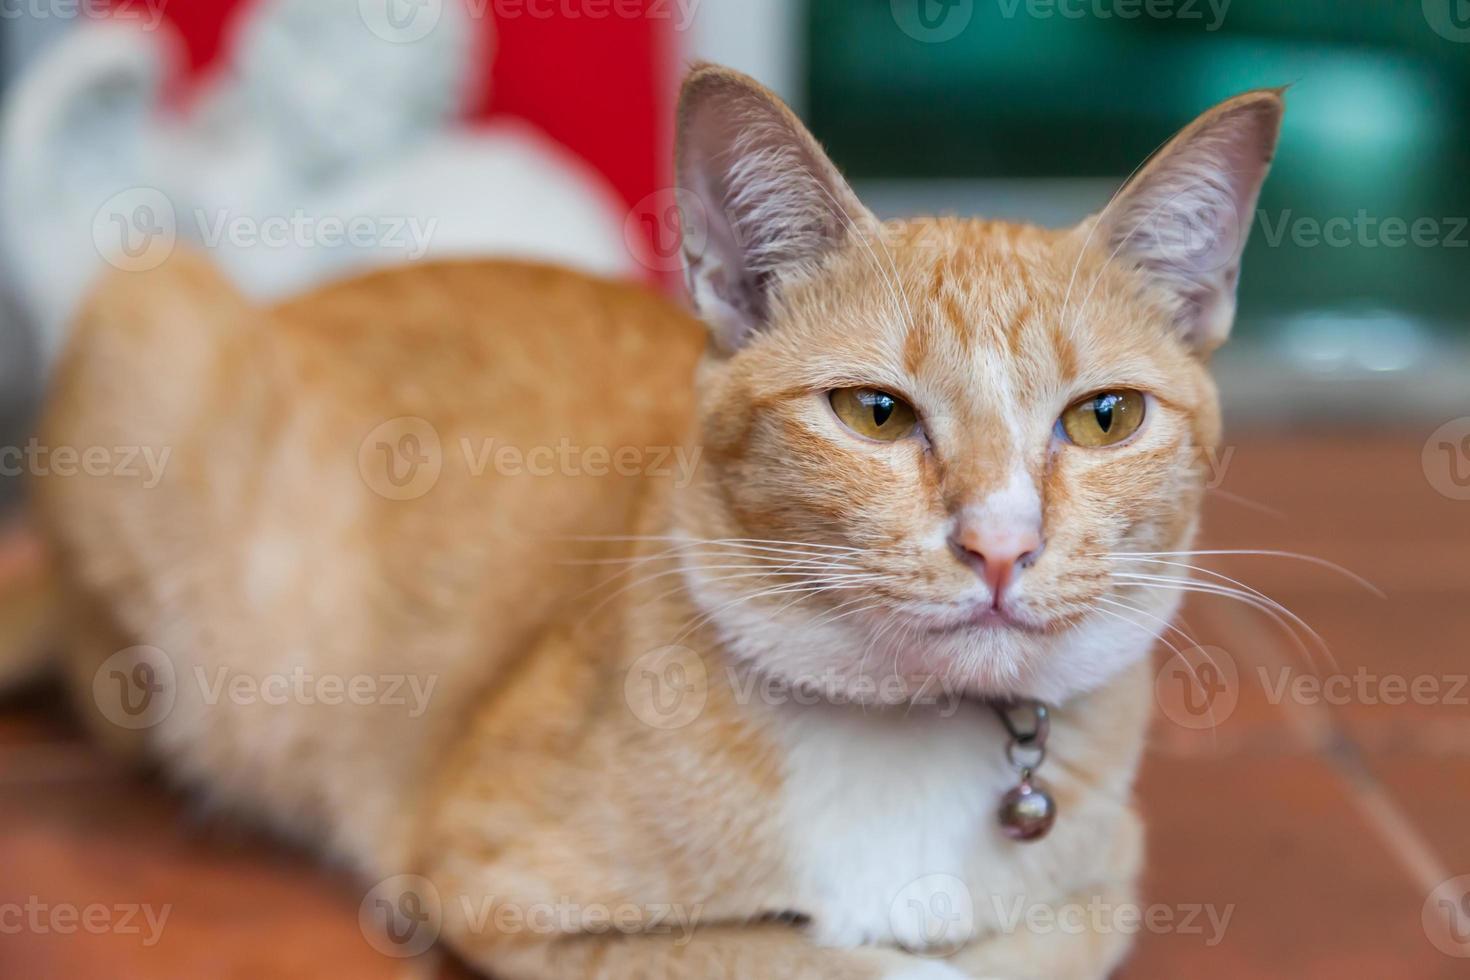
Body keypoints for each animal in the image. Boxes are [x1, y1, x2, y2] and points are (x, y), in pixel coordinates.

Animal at [25, 65, 1287, 975]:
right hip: (151, 315)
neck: (906, 738)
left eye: (1105, 416)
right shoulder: (503, 886)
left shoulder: (1105, 880)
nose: (1001, 543)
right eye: (875, 412)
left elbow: (1035, 943)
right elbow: (824, 958)